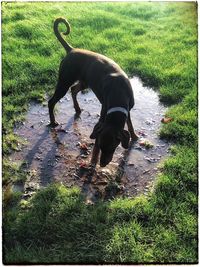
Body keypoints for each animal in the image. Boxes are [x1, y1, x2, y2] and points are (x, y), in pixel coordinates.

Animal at [48, 17, 138, 168]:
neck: (118, 91)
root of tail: (71, 50)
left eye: (113, 148)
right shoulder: (103, 114)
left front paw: (135, 136)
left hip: (84, 82)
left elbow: (130, 125)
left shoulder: (128, 109)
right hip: (64, 81)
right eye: (101, 146)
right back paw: (53, 121)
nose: (102, 164)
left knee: (74, 90)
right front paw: (93, 159)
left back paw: (77, 109)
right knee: (51, 101)